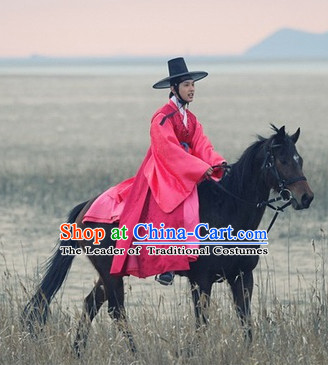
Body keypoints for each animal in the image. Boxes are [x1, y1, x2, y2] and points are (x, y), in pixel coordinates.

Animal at [21, 124, 314, 352]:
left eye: (299, 159)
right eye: (283, 160)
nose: (306, 197)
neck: (228, 211)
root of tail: (86, 206)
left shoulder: (242, 277)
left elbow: (246, 321)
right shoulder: (201, 281)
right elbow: (201, 323)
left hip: (110, 272)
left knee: (91, 304)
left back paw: (79, 351)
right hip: (110, 272)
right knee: (116, 310)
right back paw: (135, 354)